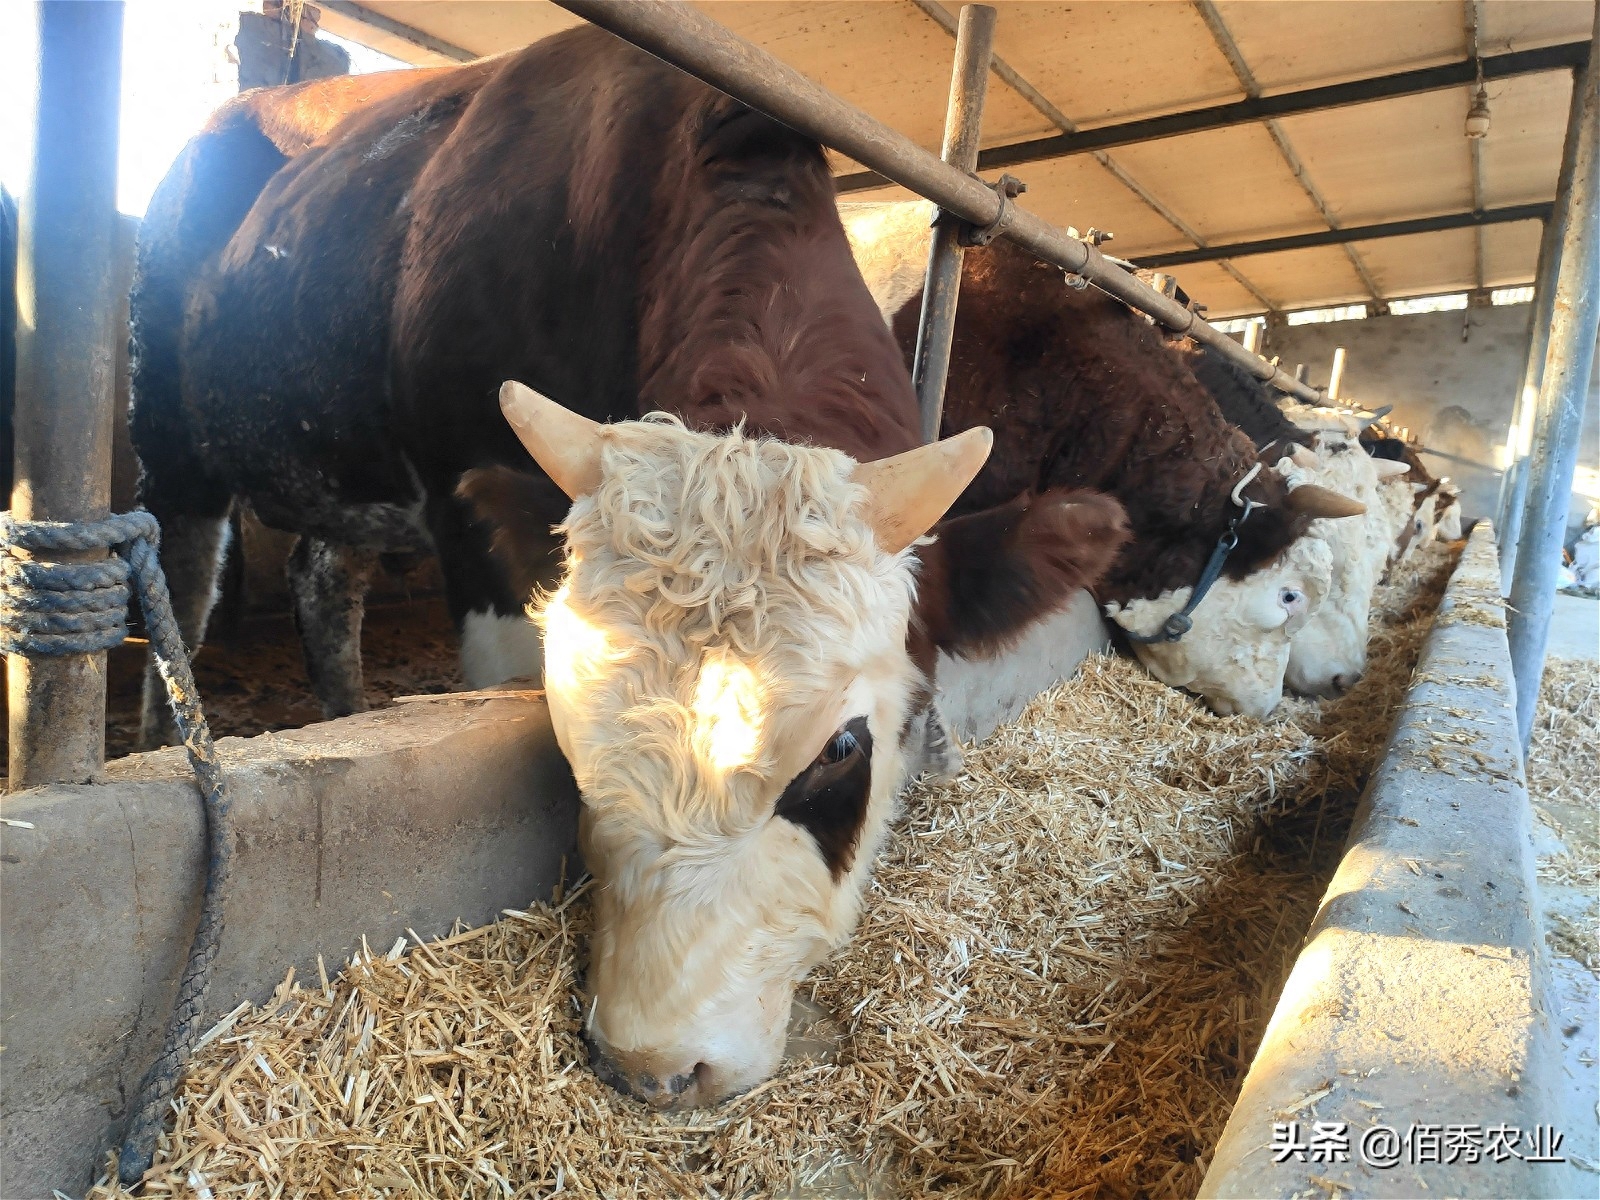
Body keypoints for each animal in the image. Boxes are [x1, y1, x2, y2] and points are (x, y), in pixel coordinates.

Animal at [137, 28, 1132, 1113]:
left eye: (839, 750)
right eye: (571, 729)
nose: (658, 1063)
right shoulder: (460, 514)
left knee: (324, 581)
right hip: (176, 449)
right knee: (177, 598)